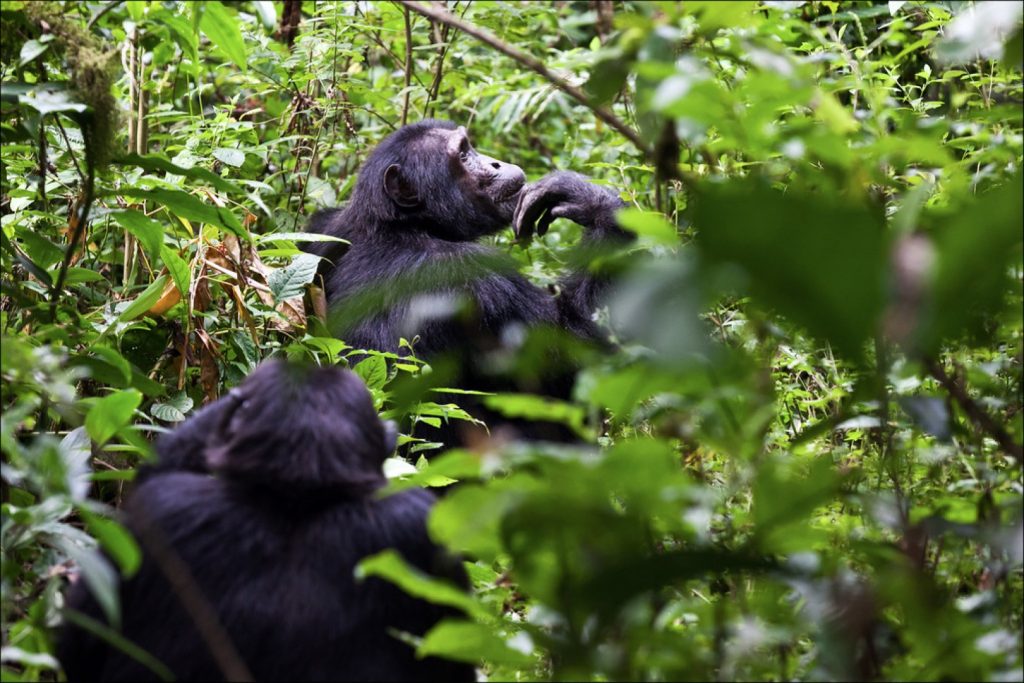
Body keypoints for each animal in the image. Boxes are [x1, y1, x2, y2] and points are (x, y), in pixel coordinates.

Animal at [305, 119, 630, 444]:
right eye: (462, 155)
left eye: (468, 146)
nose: (494, 162)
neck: (402, 226)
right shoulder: (481, 278)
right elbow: (579, 355)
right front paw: (584, 197)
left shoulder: (319, 229)